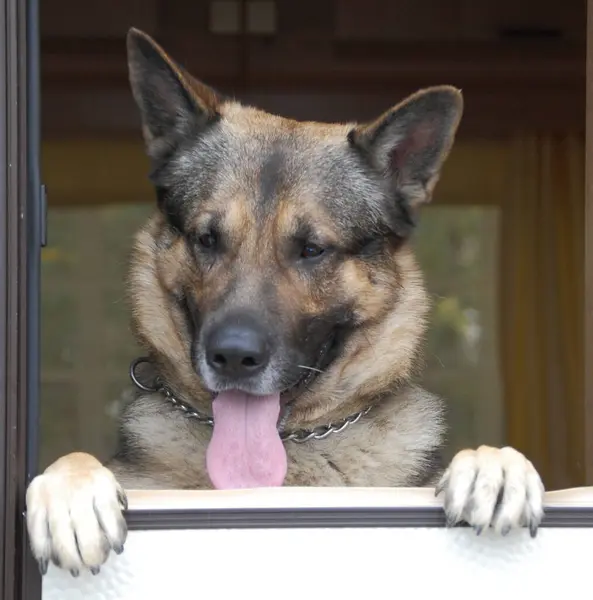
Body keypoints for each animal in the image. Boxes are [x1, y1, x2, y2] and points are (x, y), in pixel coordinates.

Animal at [25, 27, 544, 576]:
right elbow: (73, 462)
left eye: (312, 249)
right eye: (207, 239)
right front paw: (72, 492)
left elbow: (491, 454)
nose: (233, 357)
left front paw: (495, 464)